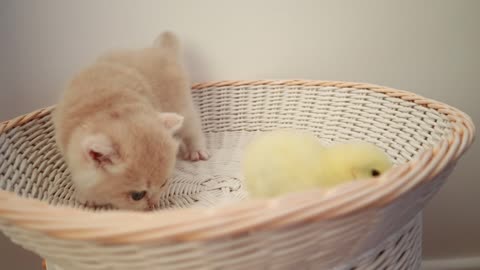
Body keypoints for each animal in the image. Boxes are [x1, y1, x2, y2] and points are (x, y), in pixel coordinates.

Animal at [53, 31, 209, 212]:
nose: (153, 204)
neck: (109, 107)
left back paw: (197, 150)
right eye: (137, 195)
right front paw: (87, 196)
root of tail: (159, 50)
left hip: (180, 104)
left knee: (192, 128)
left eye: (164, 183)